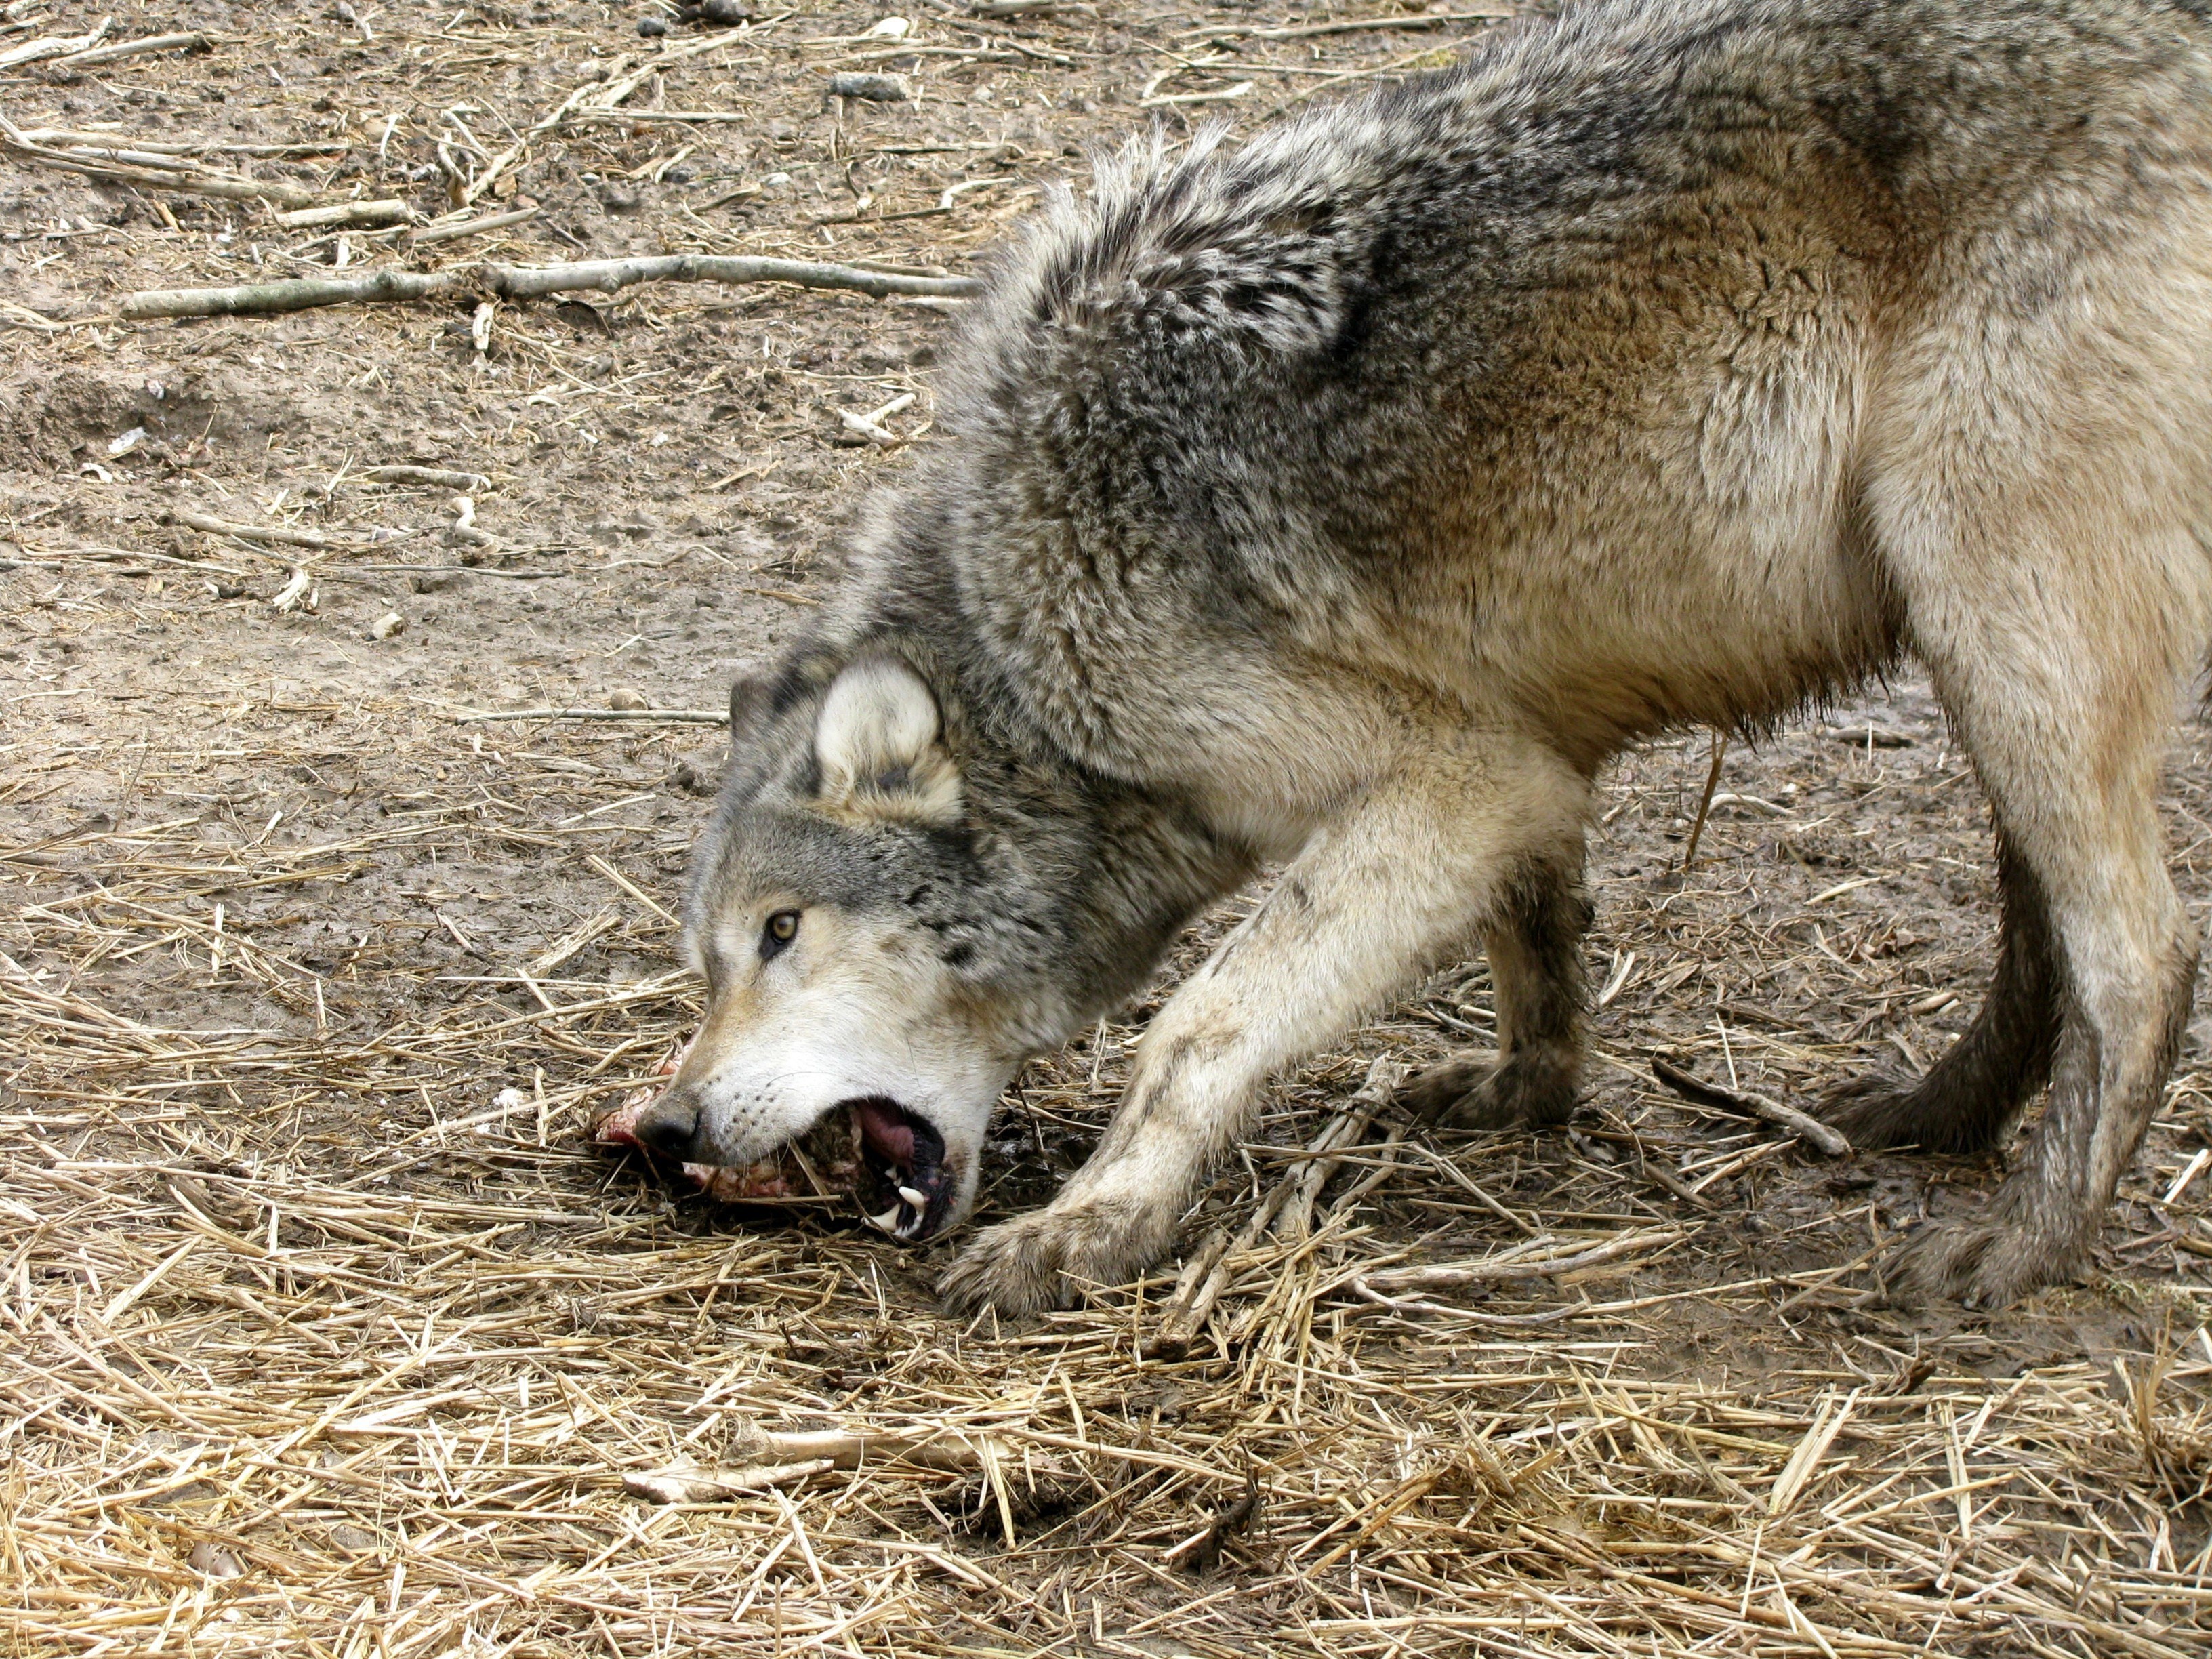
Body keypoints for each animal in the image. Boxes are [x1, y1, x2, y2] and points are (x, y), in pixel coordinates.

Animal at [627, 0, 2212, 1315]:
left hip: (2004, 629)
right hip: (1976, 656)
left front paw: (1092, 1229)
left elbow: (1195, 1028)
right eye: (707, 964)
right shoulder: (1524, 765)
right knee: (2044, 928)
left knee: (2142, 954)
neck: (1032, 622)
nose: (665, 1129)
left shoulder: (1451, 774)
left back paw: (2019, 1247)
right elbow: (1540, 948)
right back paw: (1940, 1122)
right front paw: (1529, 1093)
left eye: (780, 936)